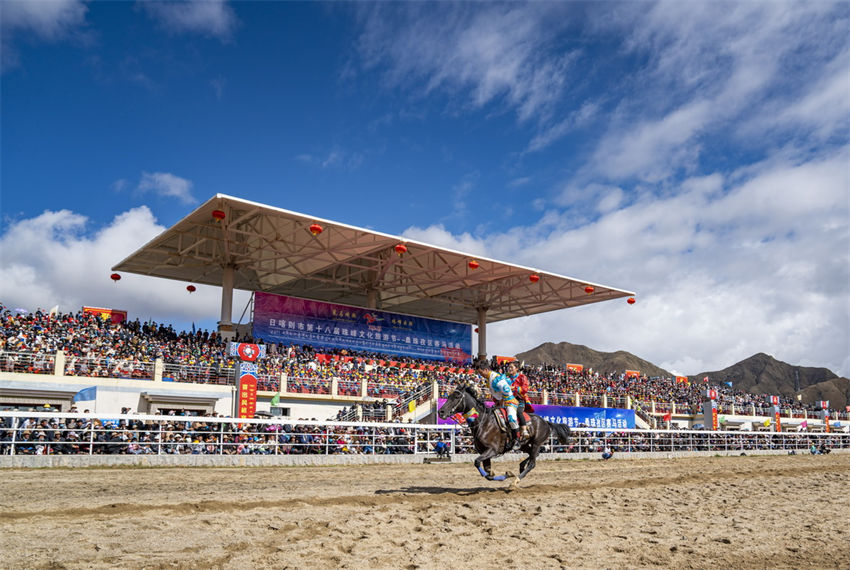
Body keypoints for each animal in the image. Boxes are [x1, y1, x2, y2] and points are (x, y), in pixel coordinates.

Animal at [438, 382, 568, 480]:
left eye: (456, 397)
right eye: (448, 396)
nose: (441, 412)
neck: (484, 422)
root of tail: (546, 422)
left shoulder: (492, 450)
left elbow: (477, 463)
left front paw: (507, 475)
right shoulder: (484, 452)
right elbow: (488, 473)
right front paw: (505, 474)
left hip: (536, 443)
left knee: (532, 462)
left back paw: (516, 480)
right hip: (524, 445)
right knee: (534, 454)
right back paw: (521, 466)